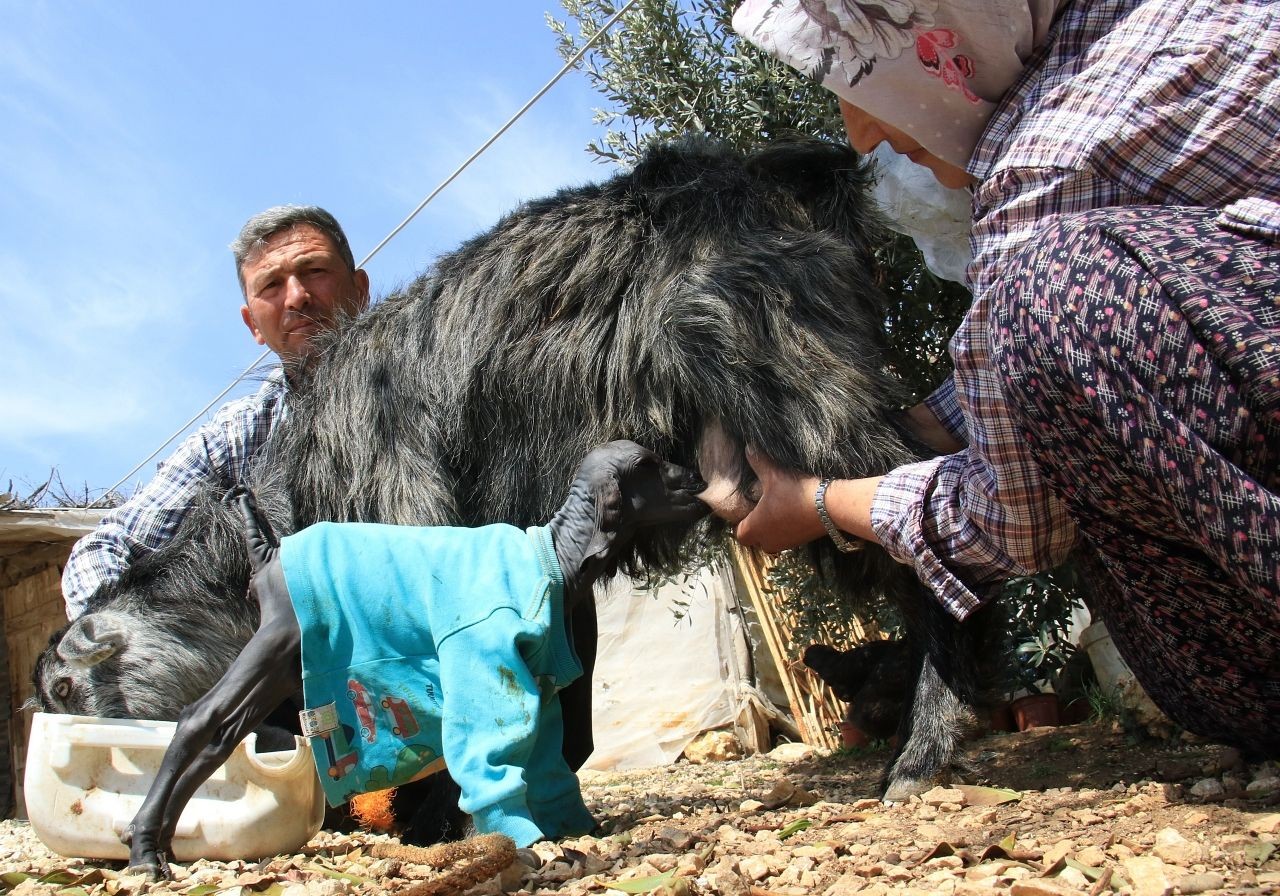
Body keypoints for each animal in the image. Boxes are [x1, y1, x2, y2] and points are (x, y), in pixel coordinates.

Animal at [123, 442, 706, 880]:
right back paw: (144, 850)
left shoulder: (539, 682)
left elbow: (551, 756)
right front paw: (523, 842)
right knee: (198, 720)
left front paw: (576, 828)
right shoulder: (481, 652)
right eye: (648, 464)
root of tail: (269, 555)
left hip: (286, 662)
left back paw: (159, 843)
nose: (700, 480)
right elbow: (493, 756)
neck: (556, 554)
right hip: (276, 640)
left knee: (224, 733)